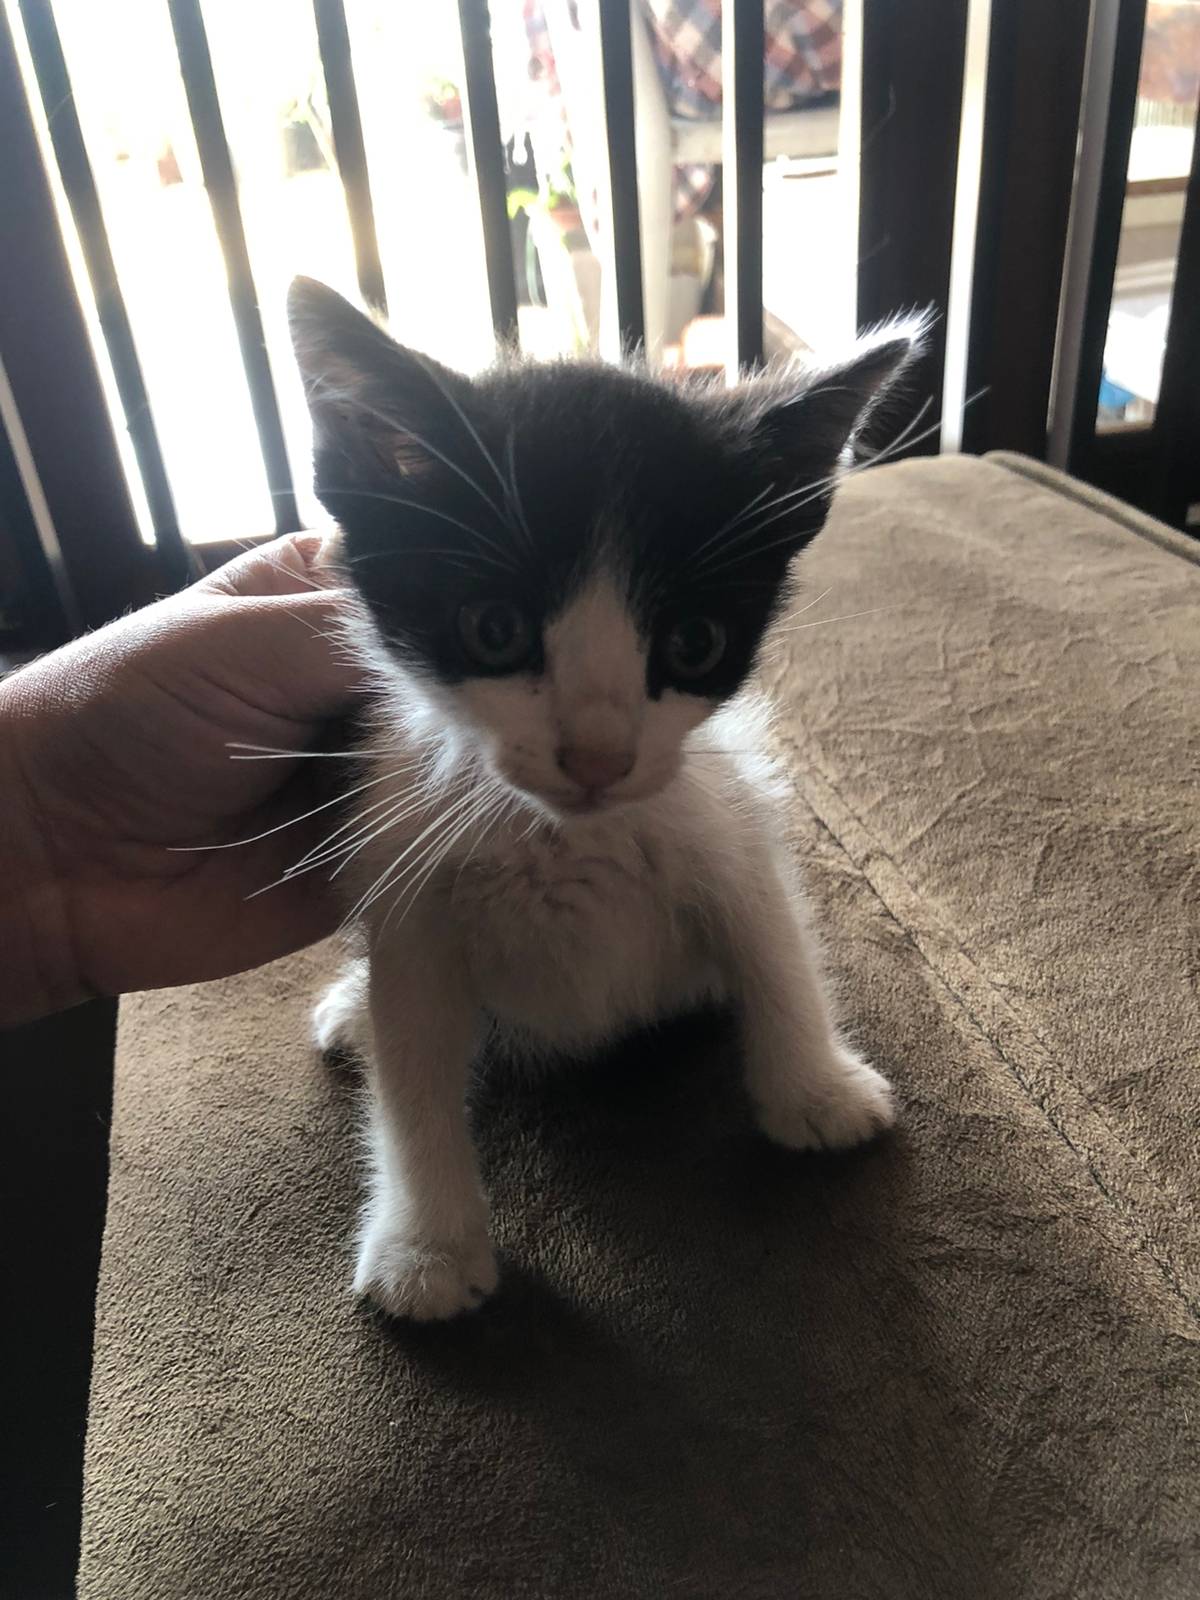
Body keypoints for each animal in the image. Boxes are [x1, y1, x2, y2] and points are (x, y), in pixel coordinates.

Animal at [288, 277, 919, 1322]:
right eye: (493, 629)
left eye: (695, 642)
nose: (596, 754)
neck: (561, 836)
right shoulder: (410, 880)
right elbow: (411, 1064)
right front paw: (428, 1246)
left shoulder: (726, 814)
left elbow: (774, 943)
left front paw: (817, 1092)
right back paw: (349, 1007)